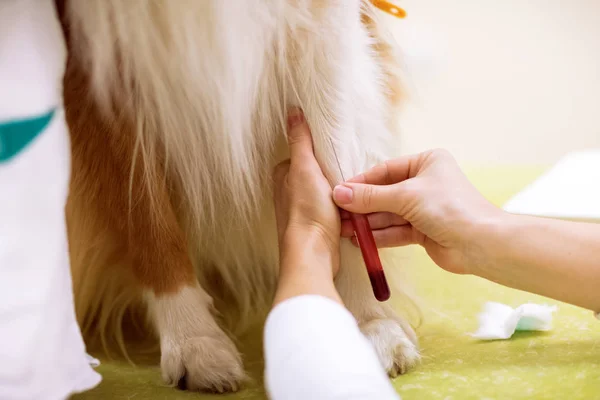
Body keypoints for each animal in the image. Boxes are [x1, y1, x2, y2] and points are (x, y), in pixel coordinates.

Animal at [58, 0, 420, 392]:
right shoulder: (94, 55)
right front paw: (193, 340)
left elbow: (338, 165)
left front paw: (367, 318)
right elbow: (146, 216)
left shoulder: (322, 22)